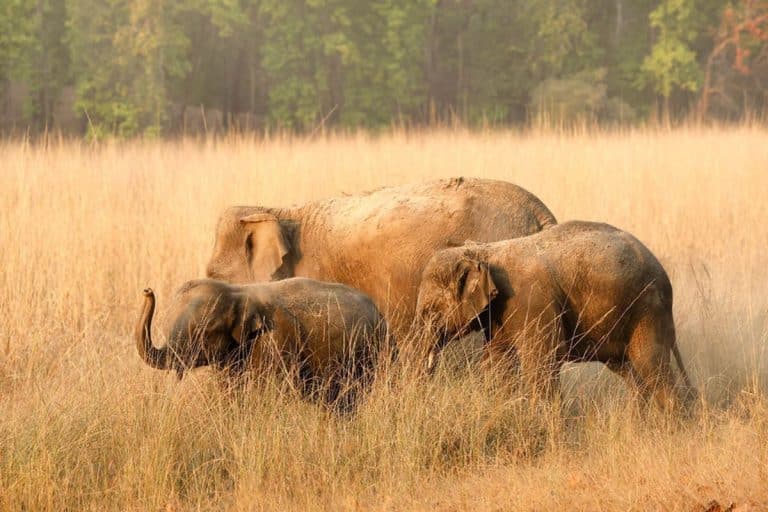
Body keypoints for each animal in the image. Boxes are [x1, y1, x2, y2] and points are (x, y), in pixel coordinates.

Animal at [415, 221, 696, 411]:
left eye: (430, 312)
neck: (483, 251)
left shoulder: (531, 302)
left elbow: (542, 362)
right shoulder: (499, 316)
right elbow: (498, 363)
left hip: (646, 310)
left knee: (650, 364)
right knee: (630, 372)